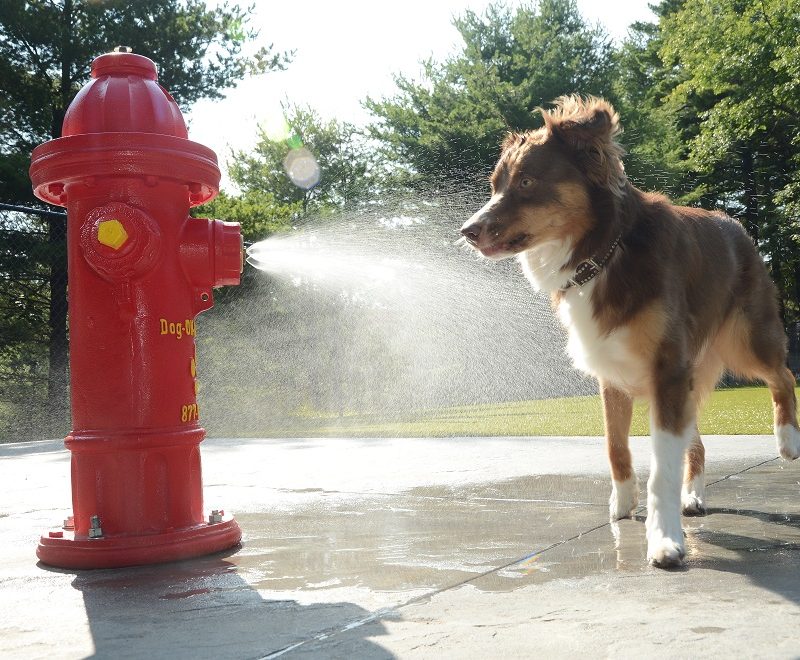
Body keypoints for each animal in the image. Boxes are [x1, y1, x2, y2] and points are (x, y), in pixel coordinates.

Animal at [462, 96, 800, 568]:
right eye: (495, 186)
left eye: (527, 181)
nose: (467, 231)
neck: (604, 251)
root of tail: (734, 224)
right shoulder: (613, 374)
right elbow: (616, 447)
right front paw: (622, 506)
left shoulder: (667, 369)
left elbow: (662, 466)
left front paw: (664, 539)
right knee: (697, 443)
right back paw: (693, 496)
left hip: (745, 339)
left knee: (783, 376)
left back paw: (787, 440)